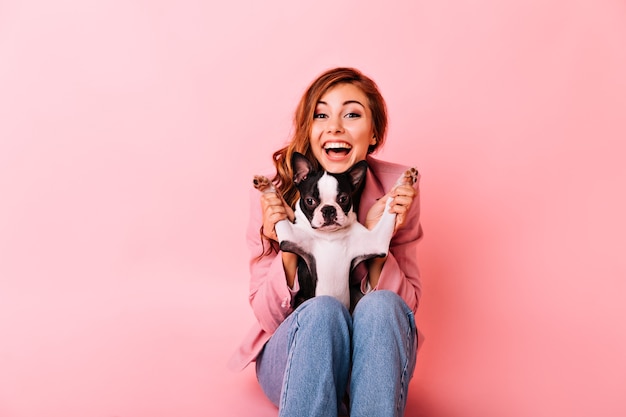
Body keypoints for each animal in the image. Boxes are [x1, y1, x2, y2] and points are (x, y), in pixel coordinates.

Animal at [251, 151, 416, 308]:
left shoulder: (377, 242)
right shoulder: (288, 236)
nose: (328, 209)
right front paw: (266, 187)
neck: (330, 236)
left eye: (343, 199)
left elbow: (389, 210)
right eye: (310, 201)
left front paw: (403, 183)